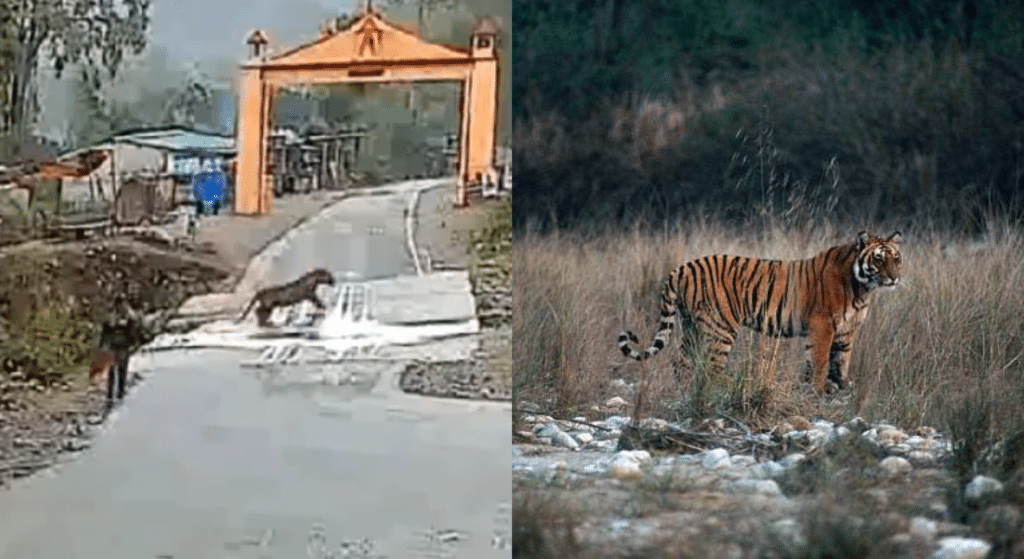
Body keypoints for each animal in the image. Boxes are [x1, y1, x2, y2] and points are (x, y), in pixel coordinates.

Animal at [618, 231, 903, 395]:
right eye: (878, 259)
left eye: (896, 258)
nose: (894, 278)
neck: (863, 288)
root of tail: (681, 268)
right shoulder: (822, 325)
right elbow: (820, 360)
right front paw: (819, 390)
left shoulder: (846, 331)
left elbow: (841, 359)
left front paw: (841, 386)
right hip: (720, 328)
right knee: (711, 368)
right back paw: (727, 389)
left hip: (692, 327)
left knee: (683, 365)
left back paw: (685, 393)